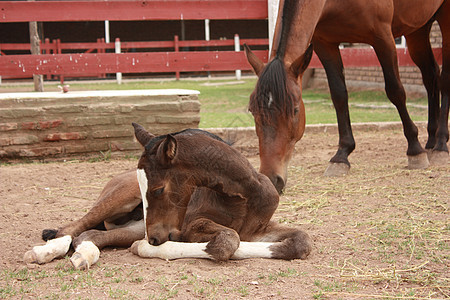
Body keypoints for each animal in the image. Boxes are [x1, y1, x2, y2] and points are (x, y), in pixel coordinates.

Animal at [24, 124, 312, 270]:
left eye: (158, 189)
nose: (152, 238)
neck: (243, 197)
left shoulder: (258, 229)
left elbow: (301, 242)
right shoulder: (191, 225)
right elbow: (227, 241)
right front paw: (148, 249)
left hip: (136, 225)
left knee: (92, 235)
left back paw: (83, 255)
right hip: (121, 202)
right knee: (71, 228)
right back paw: (43, 252)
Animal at [246, 0, 450, 192]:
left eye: (295, 110)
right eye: (252, 111)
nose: (272, 179)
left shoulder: (383, 37)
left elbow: (395, 91)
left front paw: (415, 150)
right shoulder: (325, 44)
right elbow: (339, 95)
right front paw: (342, 155)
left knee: (443, 80)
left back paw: (440, 145)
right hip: (418, 29)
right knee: (430, 75)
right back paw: (431, 141)